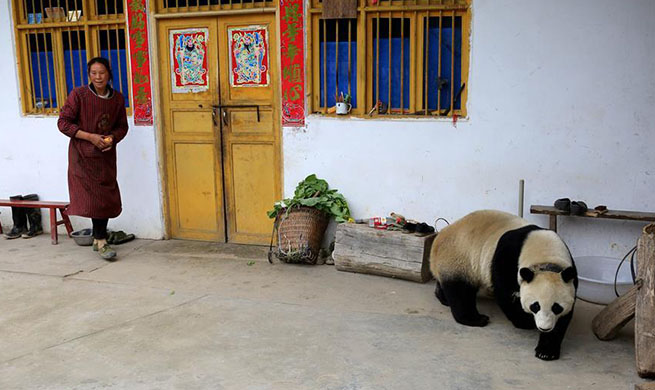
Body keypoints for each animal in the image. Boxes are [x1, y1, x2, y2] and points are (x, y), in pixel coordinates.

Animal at [430, 210, 580, 360]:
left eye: (557, 307)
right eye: (535, 306)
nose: (544, 328)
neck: (545, 254)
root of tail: (441, 235)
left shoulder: (569, 277)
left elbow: (564, 317)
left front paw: (546, 351)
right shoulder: (507, 258)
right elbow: (505, 294)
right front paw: (524, 321)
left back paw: (443, 297)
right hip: (459, 257)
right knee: (460, 291)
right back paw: (476, 319)